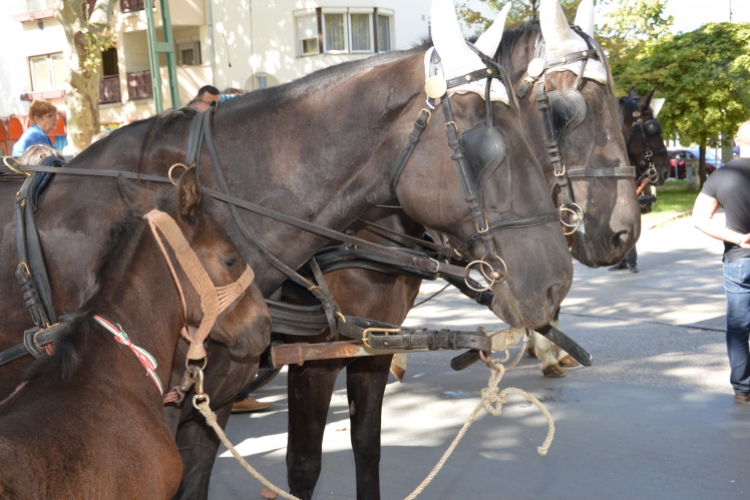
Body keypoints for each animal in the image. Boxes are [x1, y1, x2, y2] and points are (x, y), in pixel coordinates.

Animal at [284, 0, 644, 498]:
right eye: (568, 110)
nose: (624, 232)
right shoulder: (312, 359)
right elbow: (303, 466)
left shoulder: (370, 345)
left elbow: (367, 448)